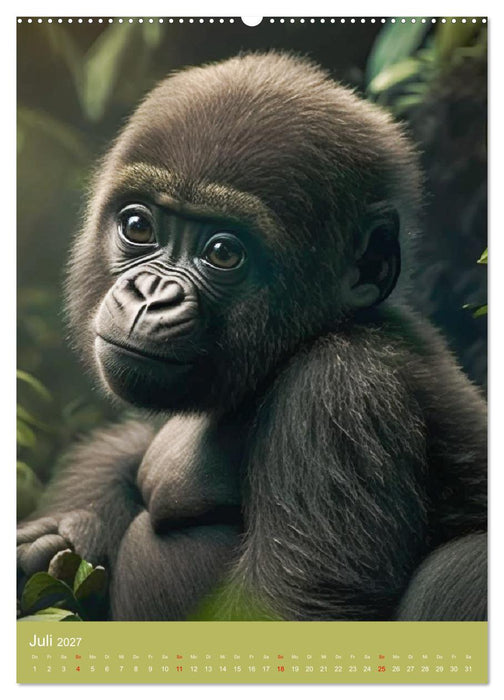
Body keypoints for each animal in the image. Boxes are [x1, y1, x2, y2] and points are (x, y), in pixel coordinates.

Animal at [17, 52, 487, 622]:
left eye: (223, 253)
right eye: (138, 226)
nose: (150, 296)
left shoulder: (340, 389)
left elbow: (282, 609)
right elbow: (123, 450)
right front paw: (53, 541)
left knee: (460, 568)